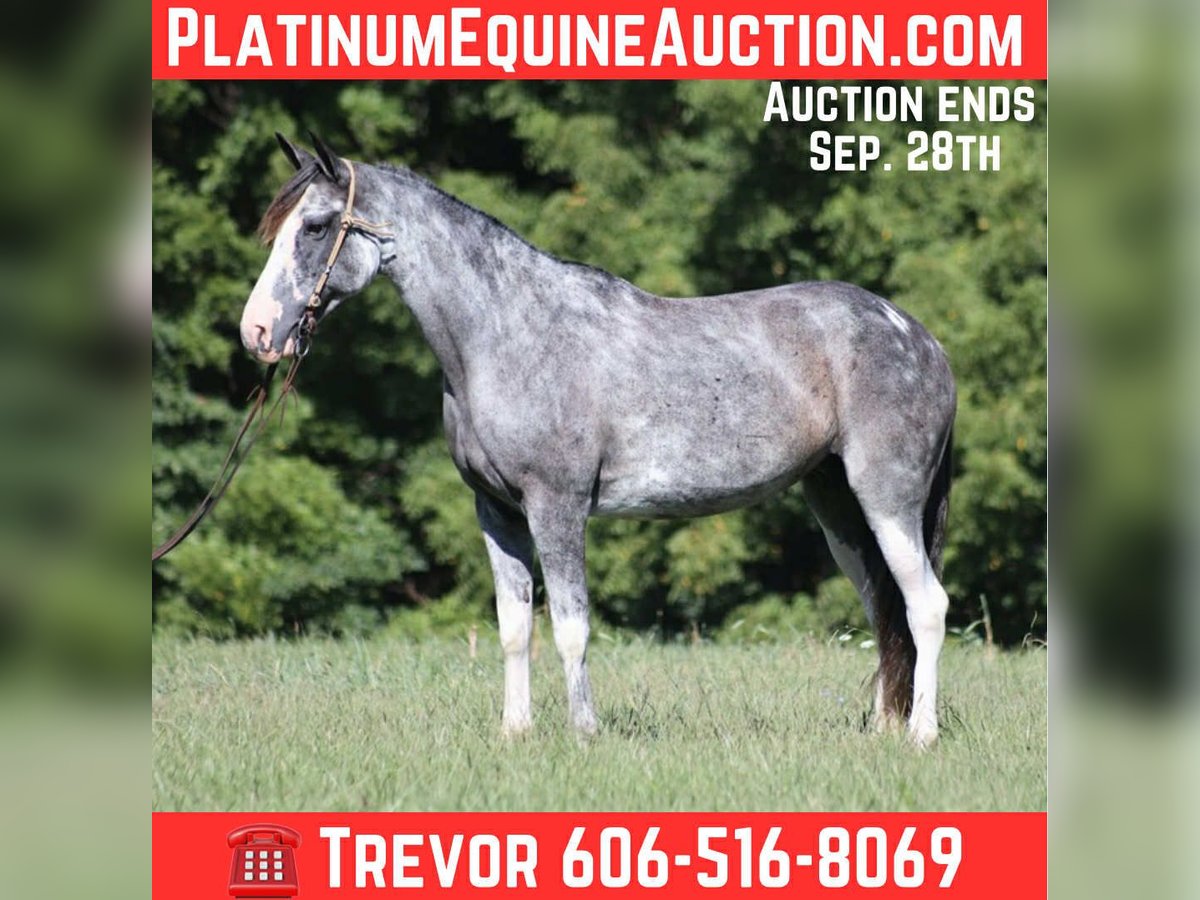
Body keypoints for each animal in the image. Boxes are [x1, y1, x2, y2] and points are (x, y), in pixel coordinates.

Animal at [240, 133, 957, 747]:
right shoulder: (496, 511)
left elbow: (571, 628)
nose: (257, 333)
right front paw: (516, 732)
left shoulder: (556, 506)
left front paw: (584, 732)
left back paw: (920, 735)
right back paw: (884, 729)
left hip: (886, 501)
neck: (508, 333)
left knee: (925, 606)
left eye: (315, 226)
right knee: (884, 610)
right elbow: (514, 628)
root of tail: (923, 339)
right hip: (839, 508)